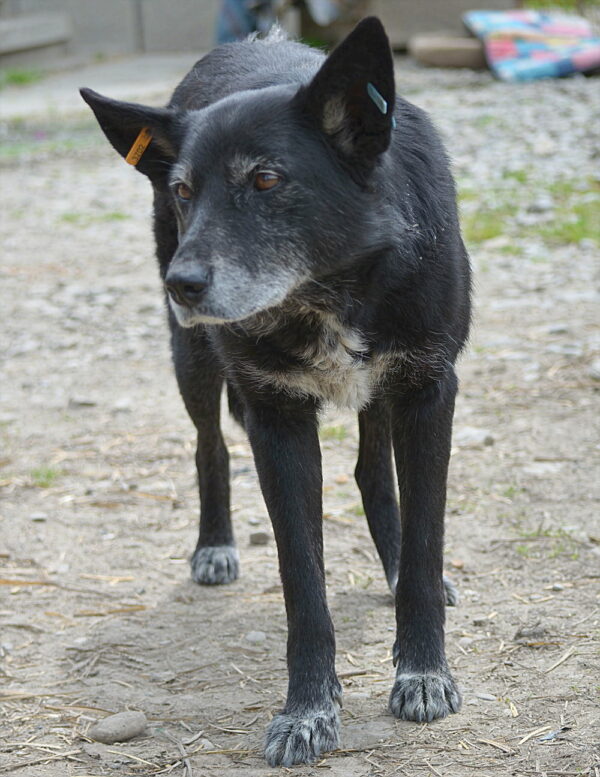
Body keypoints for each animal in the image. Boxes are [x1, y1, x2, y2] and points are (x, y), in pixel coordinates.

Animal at [82, 18, 472, 764]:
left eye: (265, 178)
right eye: (184, 190)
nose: (181, 286)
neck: (328, 289)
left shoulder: (428, 391)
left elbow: (426, 538)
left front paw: (422, 670)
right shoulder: (276, 417)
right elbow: (302, 583)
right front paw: (308, 711)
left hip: (382, 391)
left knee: (372, 471)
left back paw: (394, 564)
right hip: (194, 360)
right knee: (208, 447)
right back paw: (215, 545)